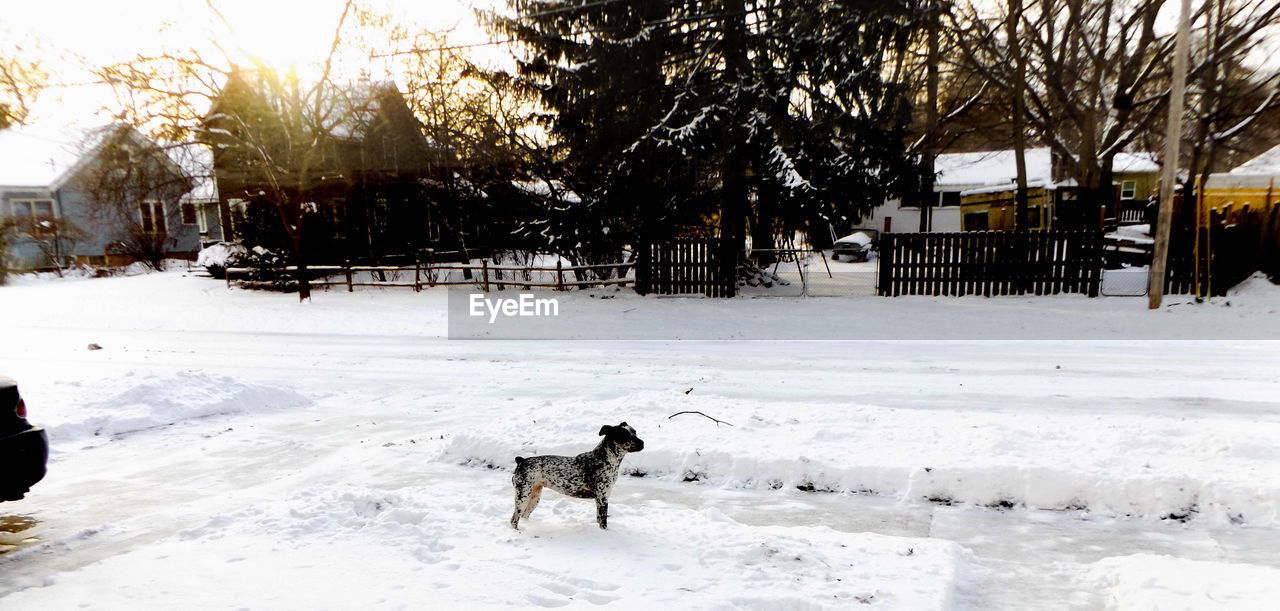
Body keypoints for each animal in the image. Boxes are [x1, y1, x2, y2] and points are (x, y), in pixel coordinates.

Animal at [509, 420, 645, 527]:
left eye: (635, 432)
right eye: (625, 435)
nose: (642, 442)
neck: (605, 459)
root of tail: (521, 461)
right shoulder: (602, 498)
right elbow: (603, 523)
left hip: (534, 497)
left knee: (524, 516)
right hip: (523, 496)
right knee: (514, 519)